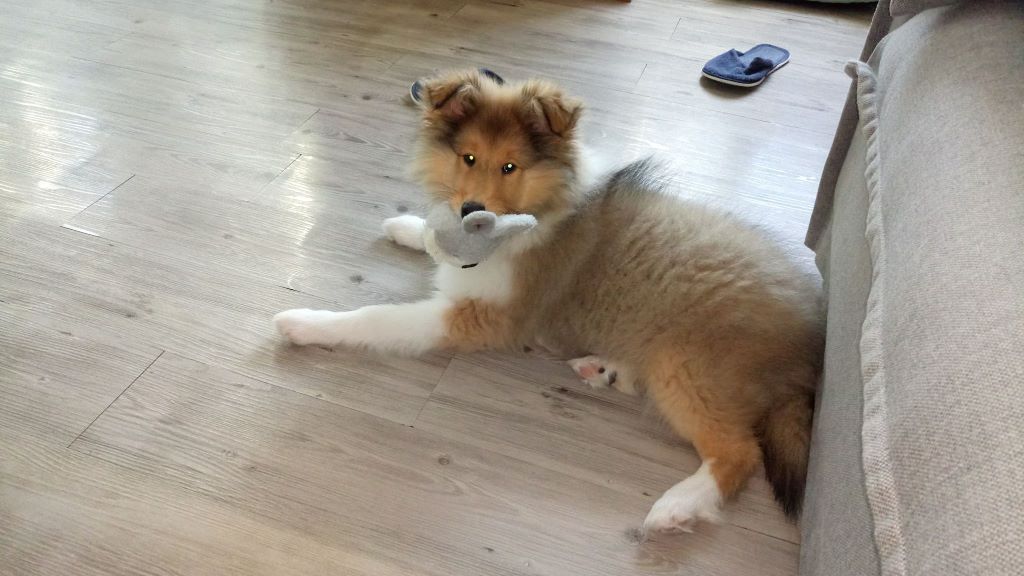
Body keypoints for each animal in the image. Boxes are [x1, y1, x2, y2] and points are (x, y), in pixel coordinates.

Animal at [274, 69, 824, 535]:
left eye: (510, 166)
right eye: (468, 157)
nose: (472, 212)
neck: (539, 208)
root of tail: (809, 352)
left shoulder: (483, 316)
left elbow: (377, 316)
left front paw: (303, 322)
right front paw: (409, 227)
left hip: (686, 366)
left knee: (739, 453)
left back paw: (676, 506)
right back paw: (604, 369)